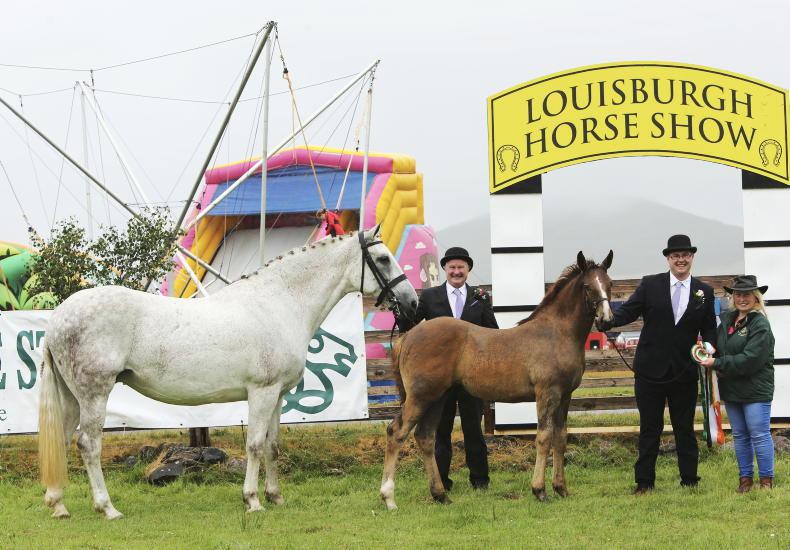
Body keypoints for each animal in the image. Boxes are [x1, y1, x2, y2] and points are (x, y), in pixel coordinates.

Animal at [38, 226, 418, 519]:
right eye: (383, 259)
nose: (411, 302)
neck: (280, 303)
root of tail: (58, 317)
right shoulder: (261, 392)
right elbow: (254, 445)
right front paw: (252, 501)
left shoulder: (277, 395)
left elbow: (272, 445)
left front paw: (276, 497)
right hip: (94, 394)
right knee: (88, 445)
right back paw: (108, 508)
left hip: (72, 397)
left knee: (63, 439)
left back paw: (58, 506)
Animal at [380, 250, 614, 510]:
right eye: (587, 286)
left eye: (609, 284)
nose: (607, 320)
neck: (556, 333)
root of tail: (408, 336)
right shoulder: (547, 393)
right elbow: (544, 438)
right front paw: (539, 490)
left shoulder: (565, 396)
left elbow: (560, 437)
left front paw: (561, 488)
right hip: (421, 396)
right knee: (396, 432)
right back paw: (389, 498)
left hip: (437, 397)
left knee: (425, 437)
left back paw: (440, 494)